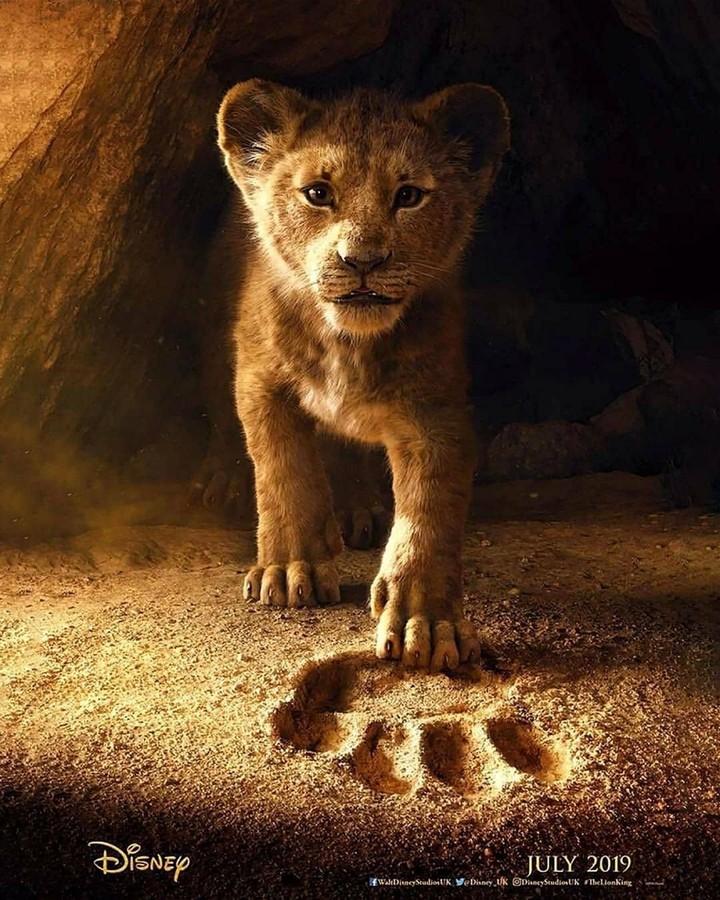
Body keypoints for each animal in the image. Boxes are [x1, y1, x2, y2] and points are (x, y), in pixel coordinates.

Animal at [216, 79, 510, 671]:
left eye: (409, 196)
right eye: (317, 193)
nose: (363, 261)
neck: (347, 342)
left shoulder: (436, 411)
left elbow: (429, 510)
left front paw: (427, 621)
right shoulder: (260, 380)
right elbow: (284, 471)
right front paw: (291, 569)